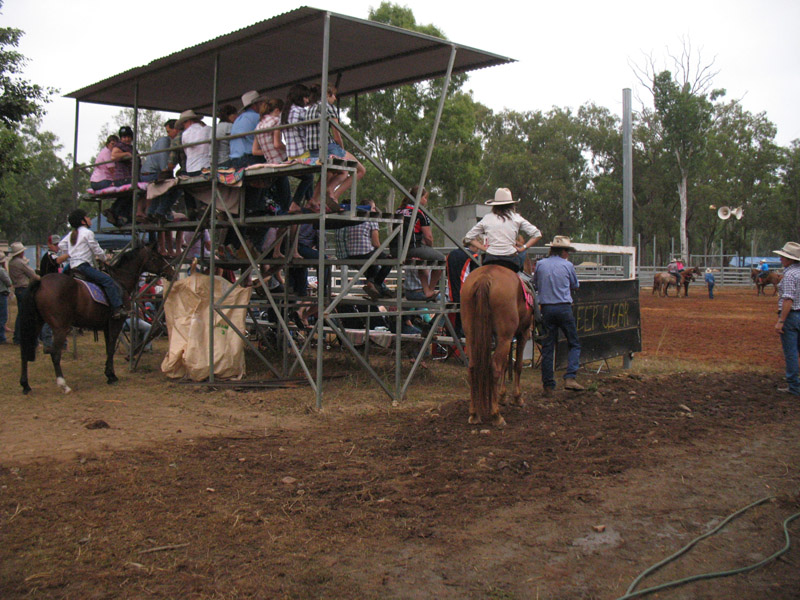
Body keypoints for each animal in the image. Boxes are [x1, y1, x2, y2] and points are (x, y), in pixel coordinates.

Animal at [19, 244, 174, 394]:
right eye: (155, 257)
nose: (170, 270)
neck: (120, 280)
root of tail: (40, 282)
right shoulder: (116, 323)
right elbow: (111, 348)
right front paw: (112, 376)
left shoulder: (106, 326)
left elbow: (108, 348)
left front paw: (109, 374)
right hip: (60, 328)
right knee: (55, 353)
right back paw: (63, 385)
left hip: (37, 323)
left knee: (25, 351)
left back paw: (26, 385)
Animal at [460, 266, 536, 426]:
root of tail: (484, 278)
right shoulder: (522, 333)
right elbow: (517, 365)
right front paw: (517, 398)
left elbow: (506, 364)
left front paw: (502, 396)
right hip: (504, 338)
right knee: (495, 368)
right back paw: (496, 415)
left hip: (472, 336)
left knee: (472, 367)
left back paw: (474, 414)